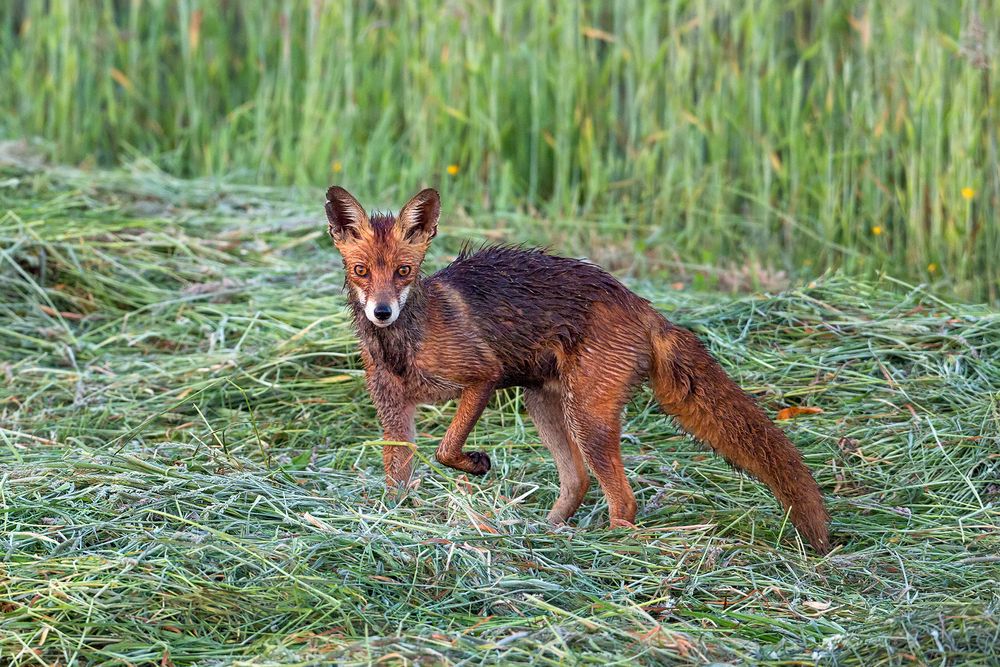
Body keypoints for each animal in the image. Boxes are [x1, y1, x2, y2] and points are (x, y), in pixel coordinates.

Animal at [324, 187, 832, 552]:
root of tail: (640, 303)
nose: (382, 312)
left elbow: (447, 448)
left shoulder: (483, 376)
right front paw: (389, 524)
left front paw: (476, 464)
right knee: (578, 481)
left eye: (404, 271)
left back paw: (610, 547)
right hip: (544, 404)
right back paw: (541, 533)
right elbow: (397, 482)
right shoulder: (394, 412)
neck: (404, 347)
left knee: (622, 498)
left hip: (586, 416)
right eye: (362, 270)